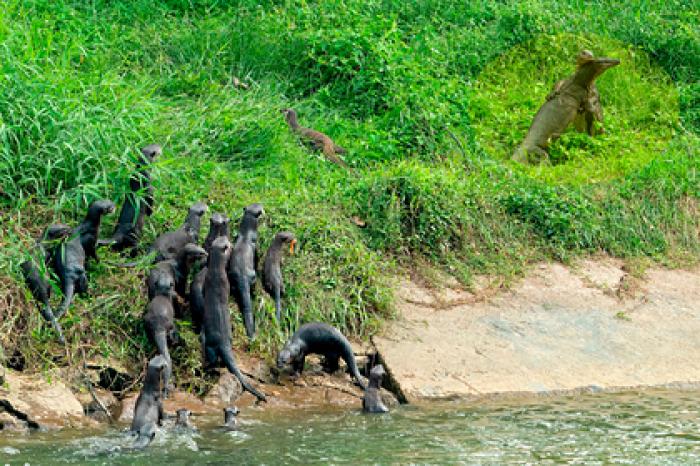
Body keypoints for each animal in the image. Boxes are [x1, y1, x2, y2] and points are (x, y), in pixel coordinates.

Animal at [202, 235, 268, 402]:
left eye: (223, 238)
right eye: (226, 242)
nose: (227, 236)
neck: (216, 272)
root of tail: (224, 342)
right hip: (215, 344)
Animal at [228, 202, 264, 340]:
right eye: (261, 208)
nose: (261, 203)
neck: (246, 234)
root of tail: (242, 277)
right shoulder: (256, 245)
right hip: (252, 276)